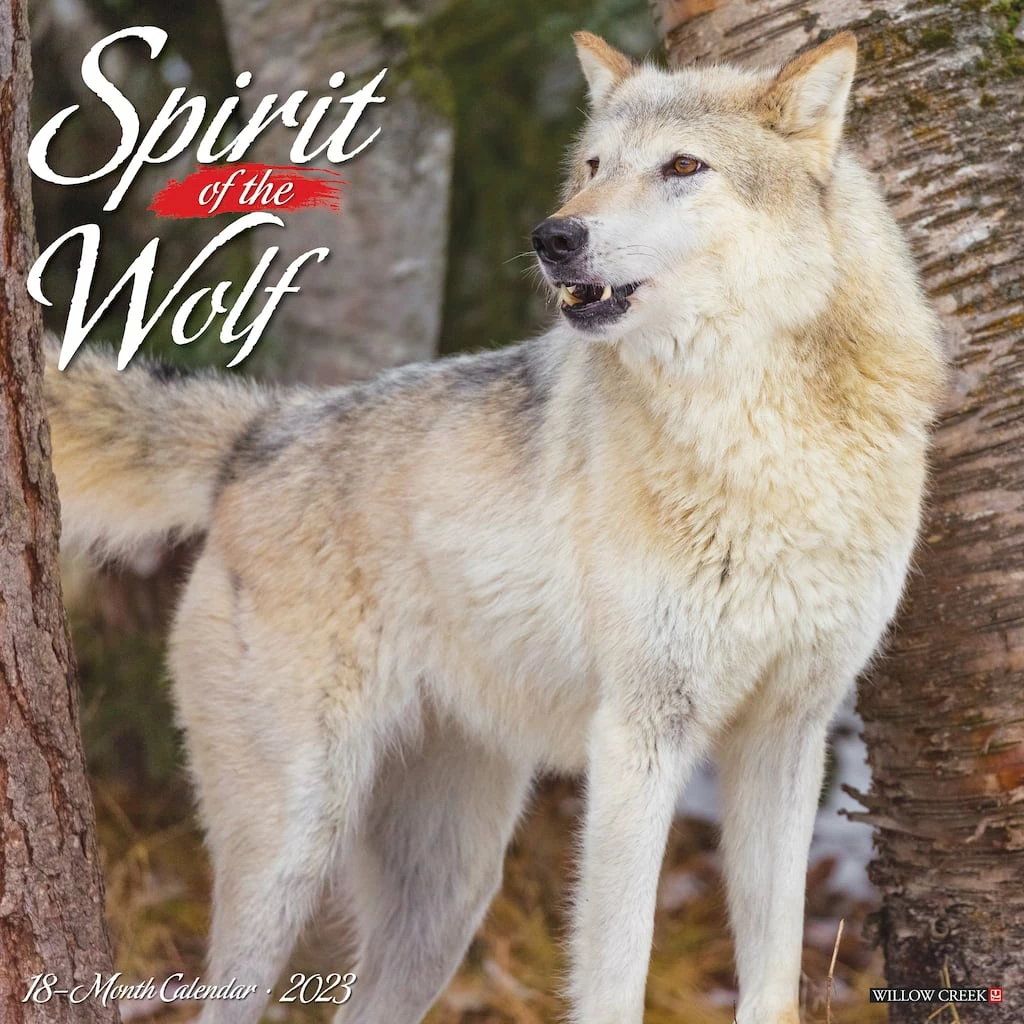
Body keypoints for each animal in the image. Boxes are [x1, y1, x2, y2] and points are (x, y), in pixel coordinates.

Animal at [45, 29, 943, 1024]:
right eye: (593, 167)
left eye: (682, 166)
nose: (553, 236)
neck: (764, 437)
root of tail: (261, 429)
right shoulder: (639, 739)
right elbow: (615, 973)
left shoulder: (789, 734)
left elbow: (774, 976)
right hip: (294, 846)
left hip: (446, 895)